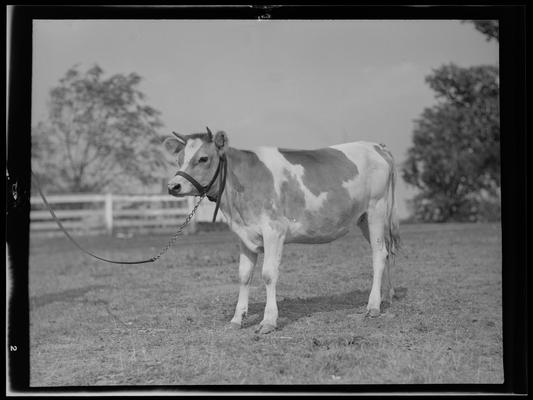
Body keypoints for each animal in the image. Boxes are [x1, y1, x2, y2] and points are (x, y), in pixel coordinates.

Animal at [163, 129, 400, 334]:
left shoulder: (274, 230)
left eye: (203, 158)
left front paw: (268, 321)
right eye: (179, 159)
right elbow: (244, 275)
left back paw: (373, 306)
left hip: (377, 209)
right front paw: (237, 319)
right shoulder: (244, 235)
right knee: (387, 251)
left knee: (379, 254)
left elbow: (268, 274)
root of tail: (376, 146)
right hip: (363, 219)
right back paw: (386, 297)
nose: (173, 186)